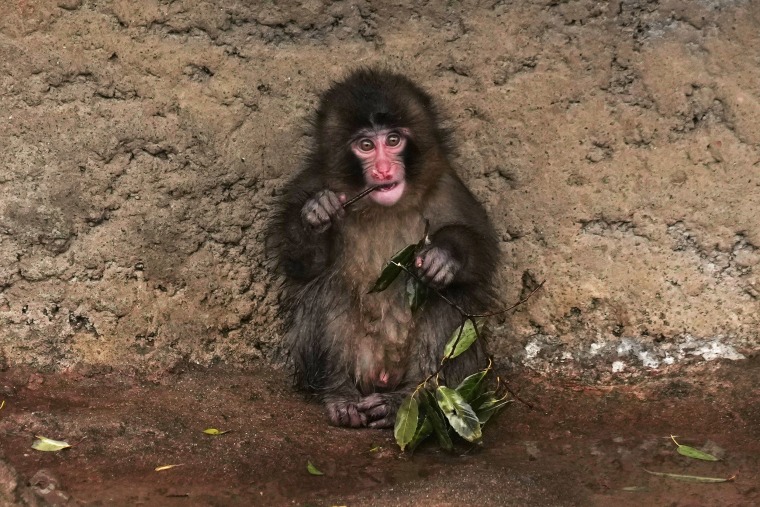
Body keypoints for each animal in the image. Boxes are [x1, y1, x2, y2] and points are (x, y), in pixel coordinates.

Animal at [267, 68, 500, 429]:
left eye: (393, 141)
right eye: (366, 145)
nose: (384, 170)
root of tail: (381, 376)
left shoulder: (447, 187)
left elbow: (483, 253)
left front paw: (445, 256)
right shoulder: (311, 182)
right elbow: (302, 265)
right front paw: (318, 213)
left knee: (444, 294)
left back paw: (406, 397)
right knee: (329, 288)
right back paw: (340, 393)